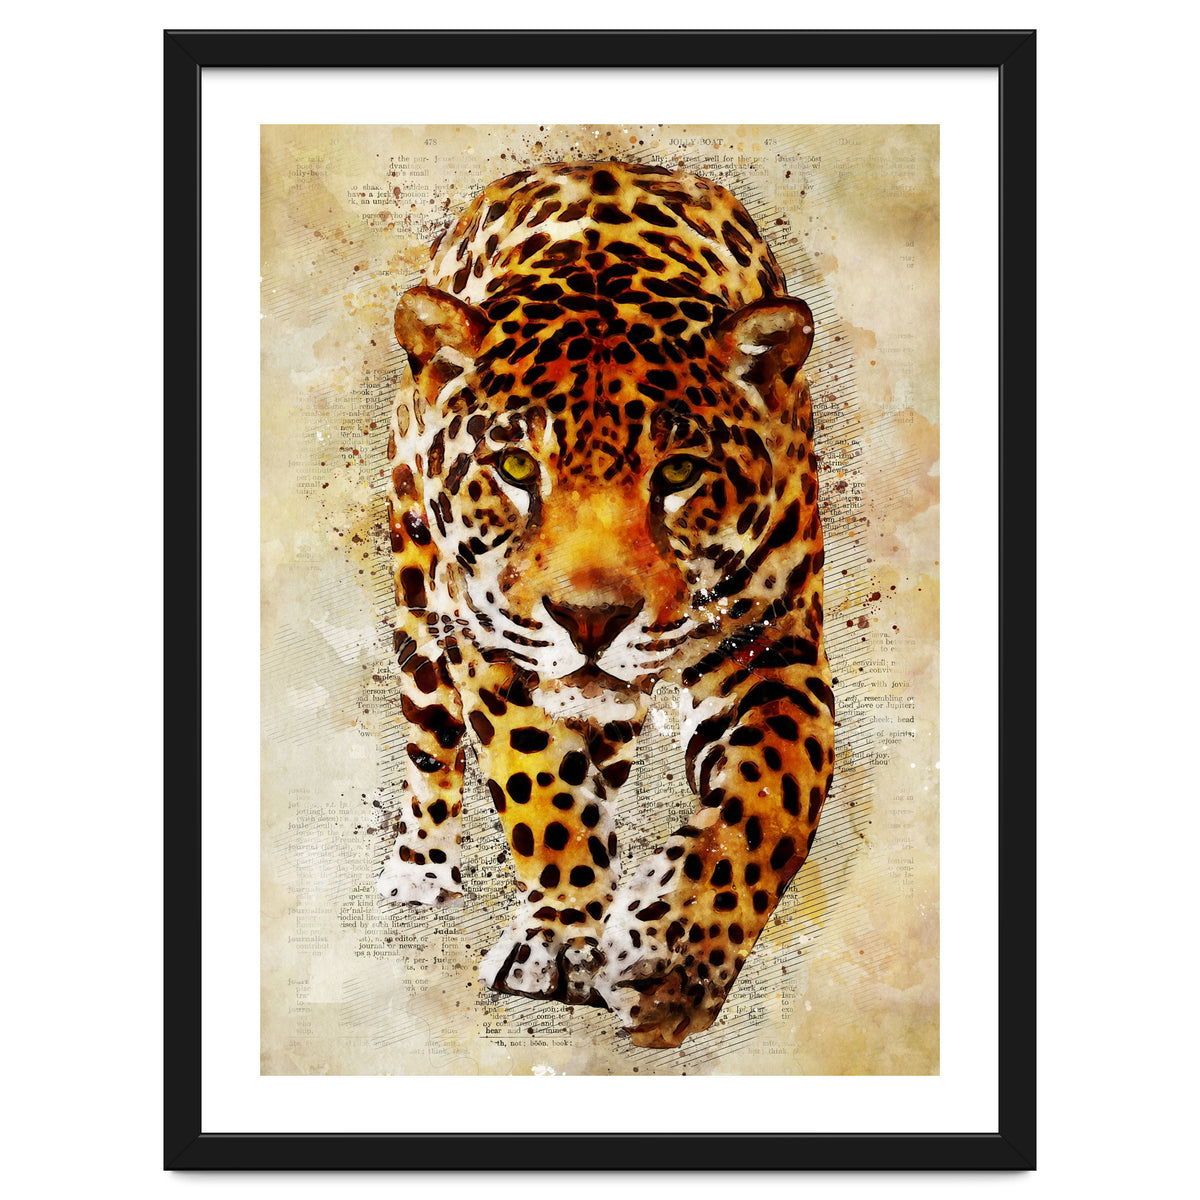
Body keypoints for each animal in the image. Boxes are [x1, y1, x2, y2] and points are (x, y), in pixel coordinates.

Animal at [376, 160, 835, 1049]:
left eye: (680, 472)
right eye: (516, 467)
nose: (591, 619)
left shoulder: (775, 646)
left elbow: (773, 797)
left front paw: (671, 957)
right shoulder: (493, 643)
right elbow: (538, 781)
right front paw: (561, 939)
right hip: (420, 601)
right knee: (430, 739)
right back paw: (420, 868)